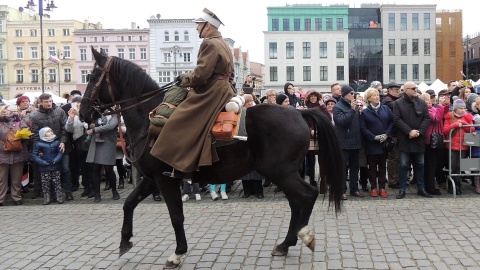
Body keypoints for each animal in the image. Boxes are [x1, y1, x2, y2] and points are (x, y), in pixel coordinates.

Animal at [81, 47, 344, 268]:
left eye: (92, 76)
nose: (84, 113)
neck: (150, 119)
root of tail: (300, 114)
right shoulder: (152, 178)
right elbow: (129, 203)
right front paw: (125, 241)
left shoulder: (165, 179)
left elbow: (176, 215)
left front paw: (178, 253)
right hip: (283, 173)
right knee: (297, 201)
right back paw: (286, 243)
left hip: (280, 172)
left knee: (307, 195)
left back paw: (301, 236)